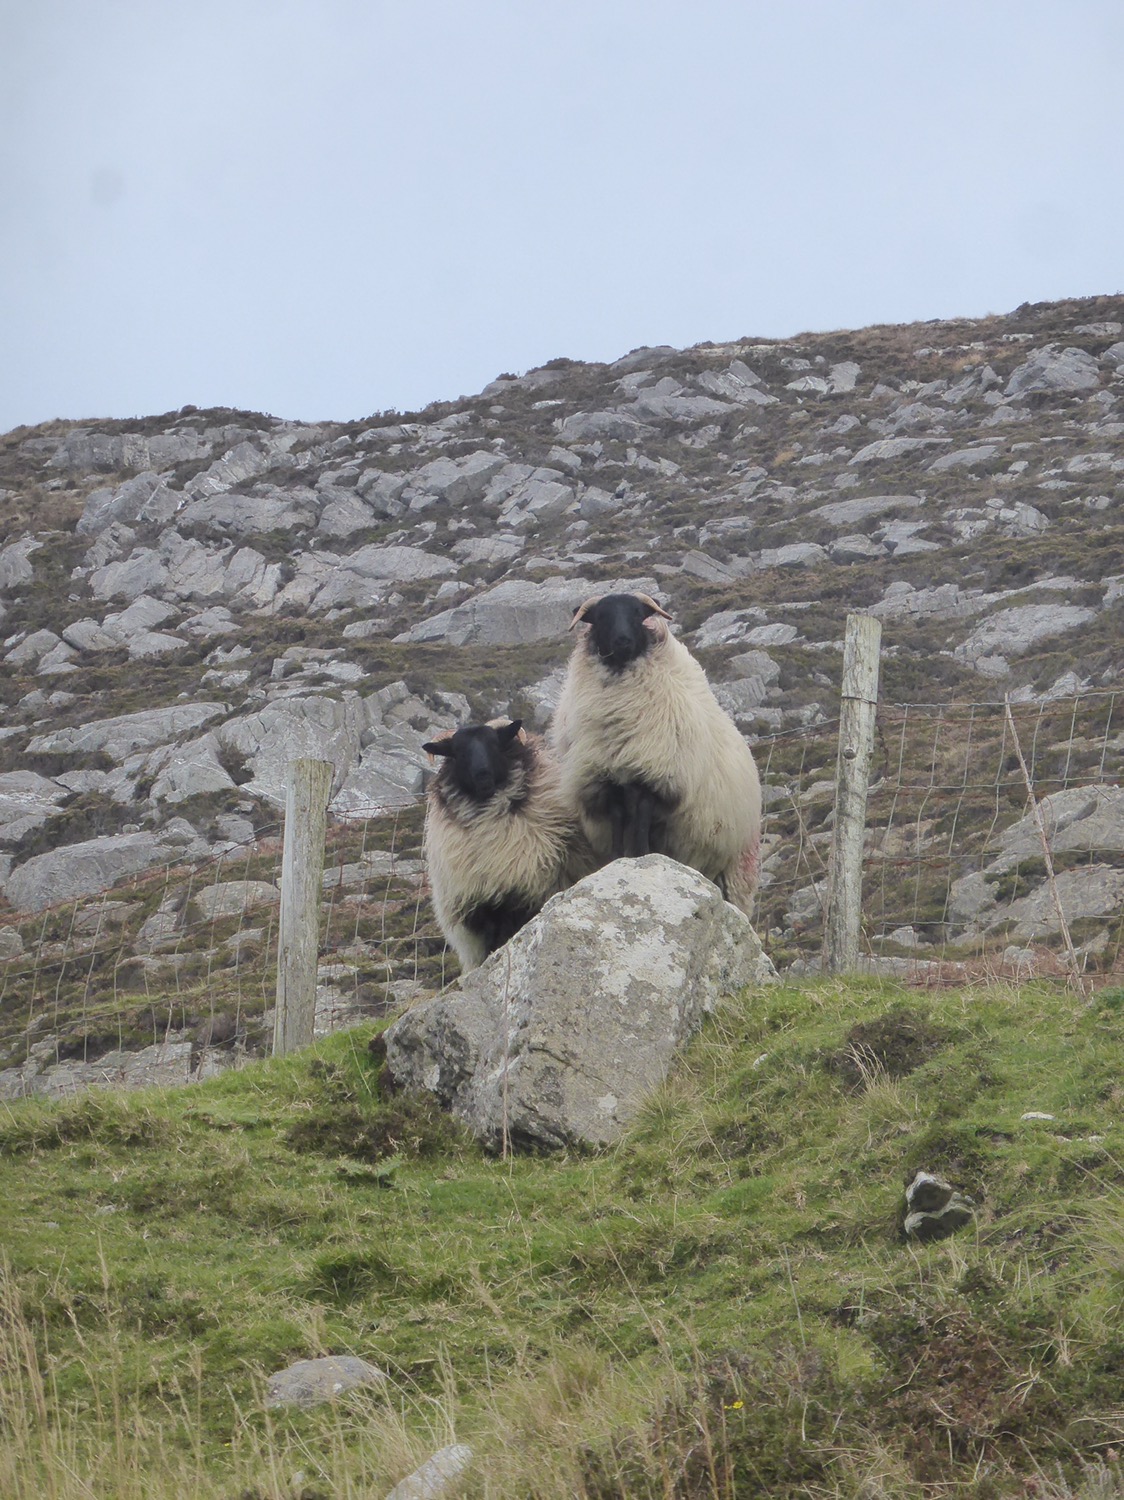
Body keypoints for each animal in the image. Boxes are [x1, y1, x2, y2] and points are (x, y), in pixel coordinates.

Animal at [548, 591, 762, 916]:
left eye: (638, 613)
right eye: (600, 616)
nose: (623, 640)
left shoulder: (653, 778)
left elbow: (640, 827)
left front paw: (640, 859)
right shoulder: (608, 782)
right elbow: (619, 829)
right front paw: (617, 861)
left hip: (736, 870)